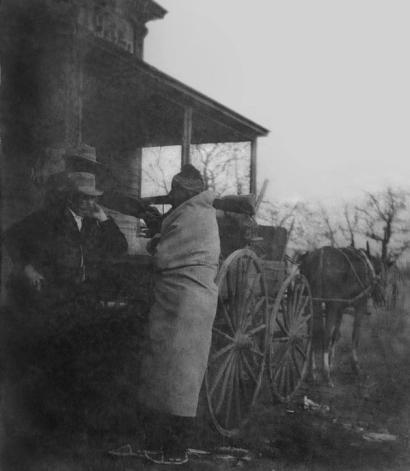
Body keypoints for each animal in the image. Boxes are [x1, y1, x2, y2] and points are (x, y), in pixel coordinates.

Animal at [298, 245, 382, 386]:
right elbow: (355, 336)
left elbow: (335, 335)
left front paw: (331, 362)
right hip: (330, 305)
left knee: (312, 334)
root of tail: (320, 257)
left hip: (311, 302)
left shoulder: (340, 308)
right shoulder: (359, 305)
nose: (381, 298)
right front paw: (355, 366)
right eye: (382, 270)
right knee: (324, 336)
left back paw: (311, 372)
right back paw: (326, 375)